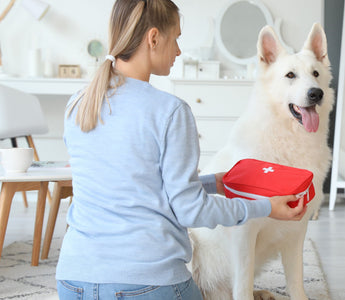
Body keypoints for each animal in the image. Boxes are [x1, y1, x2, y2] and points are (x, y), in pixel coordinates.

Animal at [188, 24, 334, 300]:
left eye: (316, 74)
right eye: (290, 75)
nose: (316, 93)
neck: (288, 141)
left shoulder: (297, 231)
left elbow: (296, 279)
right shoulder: (244, 233)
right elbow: (242, 284)